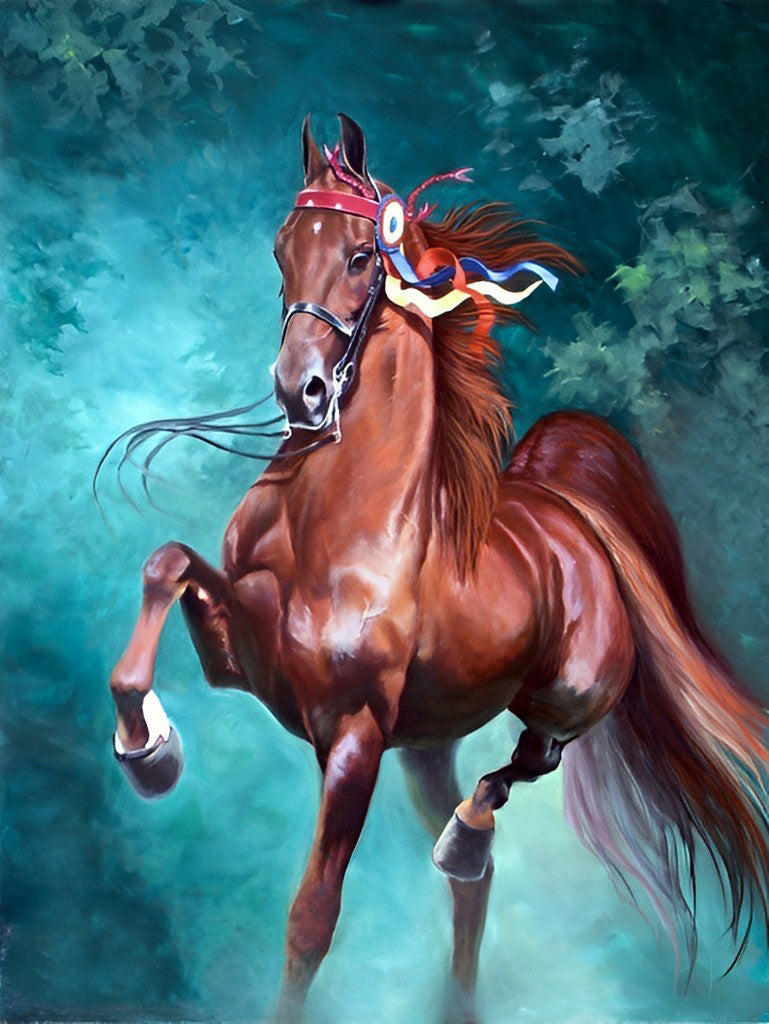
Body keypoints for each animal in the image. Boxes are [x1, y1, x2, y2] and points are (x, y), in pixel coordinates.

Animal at [105, 113, 769, 1022]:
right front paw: (148, 751)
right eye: (281, 249)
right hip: (424, 746)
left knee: (523, 769)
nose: (300, 392)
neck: (333, 527)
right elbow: (165, 565)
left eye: (361, 255)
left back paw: (465, 836)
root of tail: (568, 511)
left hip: (566, 696)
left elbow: (312, 918)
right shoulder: (238, 660)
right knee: (475, 875)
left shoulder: (352, 738)